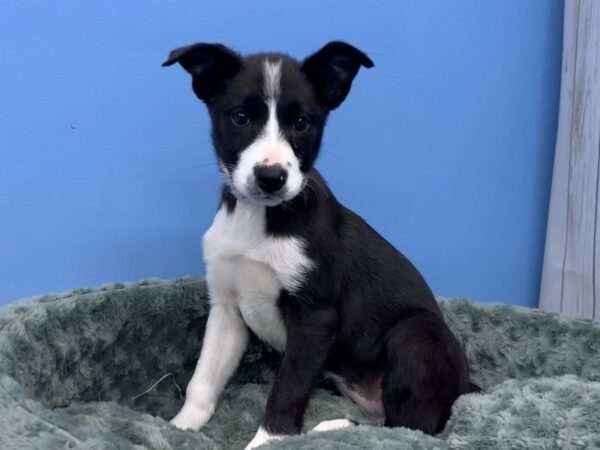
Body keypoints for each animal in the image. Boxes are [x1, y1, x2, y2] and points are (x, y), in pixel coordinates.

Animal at [162, 40, 476, 448]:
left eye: (301, 123)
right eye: (240, 118)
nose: (271, 177)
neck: (262, 220)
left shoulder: (315, 318)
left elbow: (288, 388)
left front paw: (267, 440)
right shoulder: (226, 309)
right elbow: (202, 378)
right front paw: (180, 427)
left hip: (416, 335)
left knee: (410, 428)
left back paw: (334, 427)